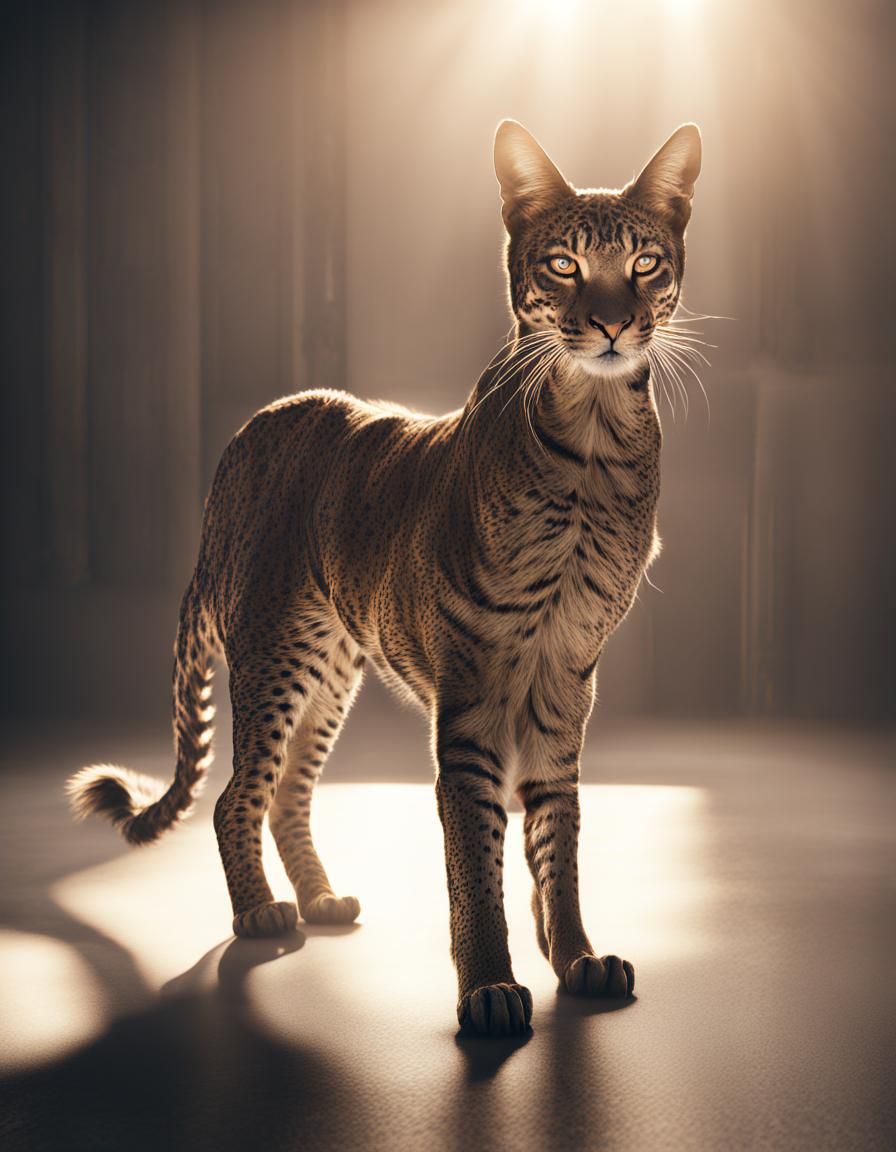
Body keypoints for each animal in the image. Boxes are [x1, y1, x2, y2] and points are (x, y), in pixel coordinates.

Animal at [68, 119, 702, 1036]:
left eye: (645, 262)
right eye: (563, 264)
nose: (614, 325)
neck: (594, 433)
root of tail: (243, 438)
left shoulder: (566, 679)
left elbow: (560, 835)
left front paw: (577, 955)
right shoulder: (472, 698)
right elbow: (475, 860)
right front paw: (489, 986)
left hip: (329, 669)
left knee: (289, 790)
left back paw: (321, 899)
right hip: (275, 652)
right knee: (236, 795)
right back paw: (259, 911)